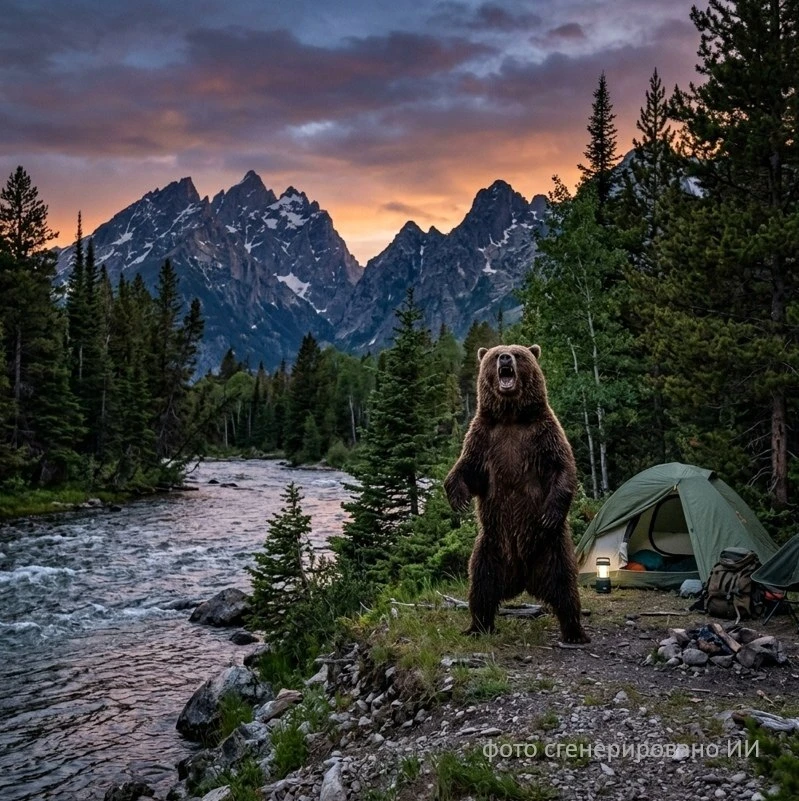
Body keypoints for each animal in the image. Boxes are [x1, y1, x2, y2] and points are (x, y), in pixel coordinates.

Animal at [444, 344, 588, 644]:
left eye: (519, 354)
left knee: (565, 586)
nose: (504, 358)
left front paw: (550, 512)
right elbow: (467, 468)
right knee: (481, 586)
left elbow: (562, 468)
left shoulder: (543, 434)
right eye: (494, 354)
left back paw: (575, 631)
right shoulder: (484, 437)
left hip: (552, 547)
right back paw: (477, 626)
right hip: (491, 548)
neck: (511, 417)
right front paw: (458, 497)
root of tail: (522, 577)